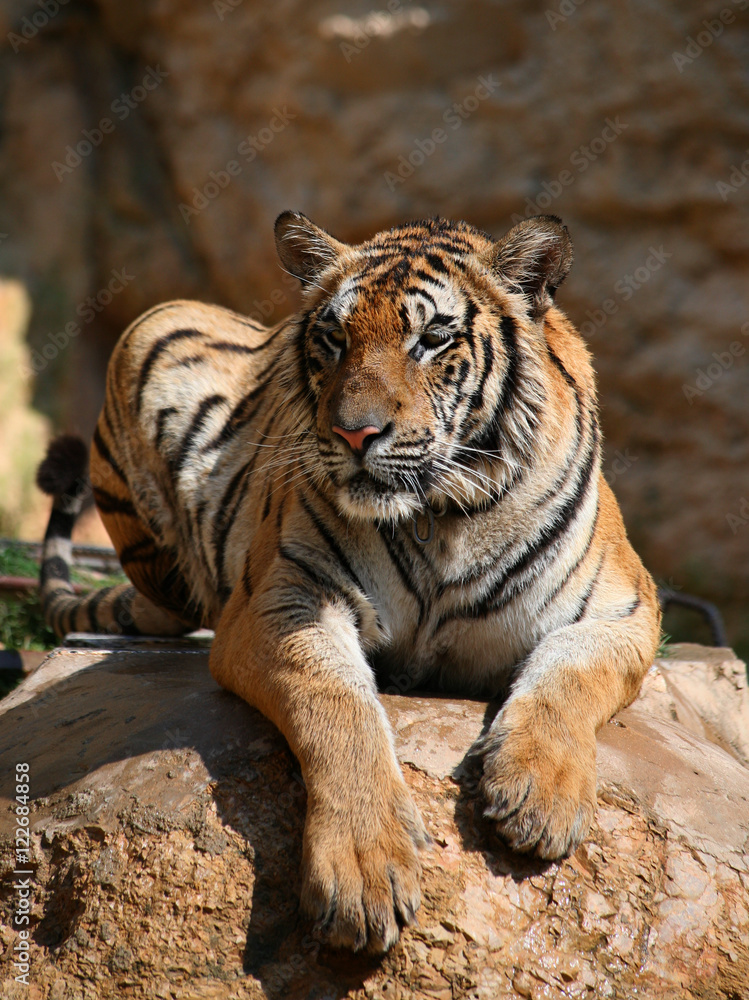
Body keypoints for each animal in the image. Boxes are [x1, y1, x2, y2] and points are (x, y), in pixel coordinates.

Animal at [36, 211, 661, 954]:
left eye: (432, 339)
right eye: (334, 340)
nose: (354, 433)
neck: (441, 515)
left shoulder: (624, 608)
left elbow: (572, 671)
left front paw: (539, 792)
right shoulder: (281, 601)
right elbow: (336, 702)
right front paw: (364, 870)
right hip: (153, 331)